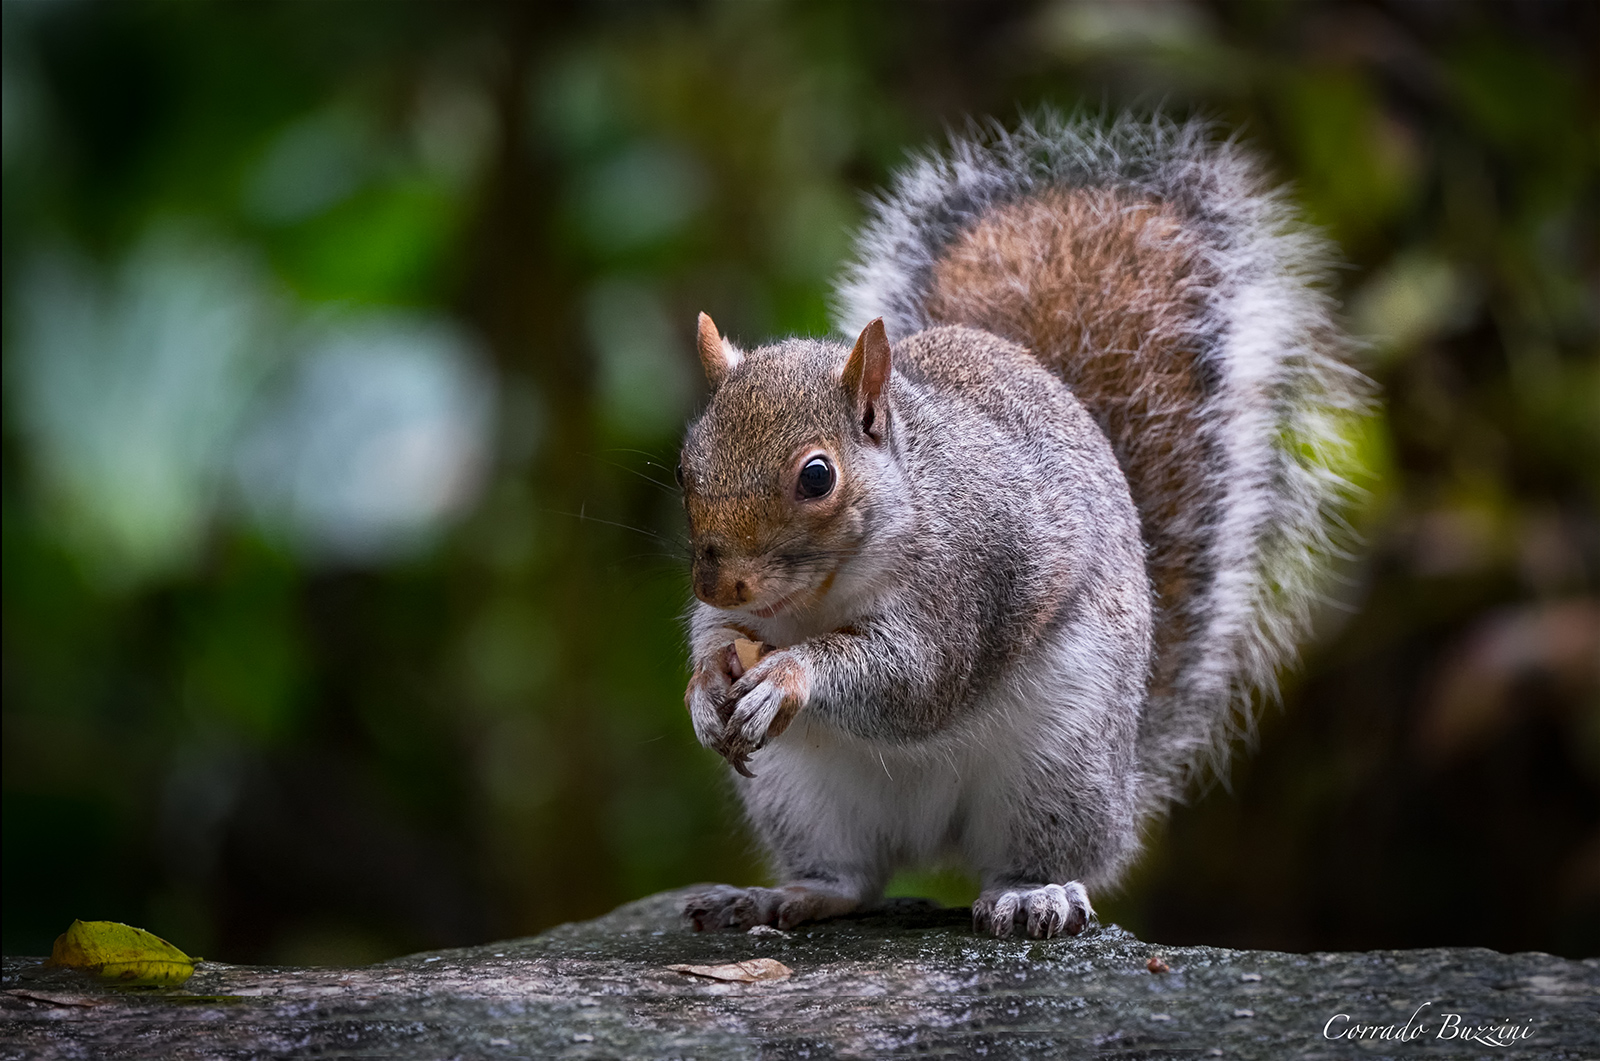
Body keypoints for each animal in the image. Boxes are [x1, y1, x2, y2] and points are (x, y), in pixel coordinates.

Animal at [675, 114, 1367, 939]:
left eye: (817, 476)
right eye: (685, 463)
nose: (720, 580)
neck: (822, 594)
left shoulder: (968, 580)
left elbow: (916, 679)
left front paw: (788, 673)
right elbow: (715, 637)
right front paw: (706, 685)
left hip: (1057, 762)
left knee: (1036, 855)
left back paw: (1034, 894)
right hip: (802, 794)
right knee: (852, 877)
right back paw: (784, 895)